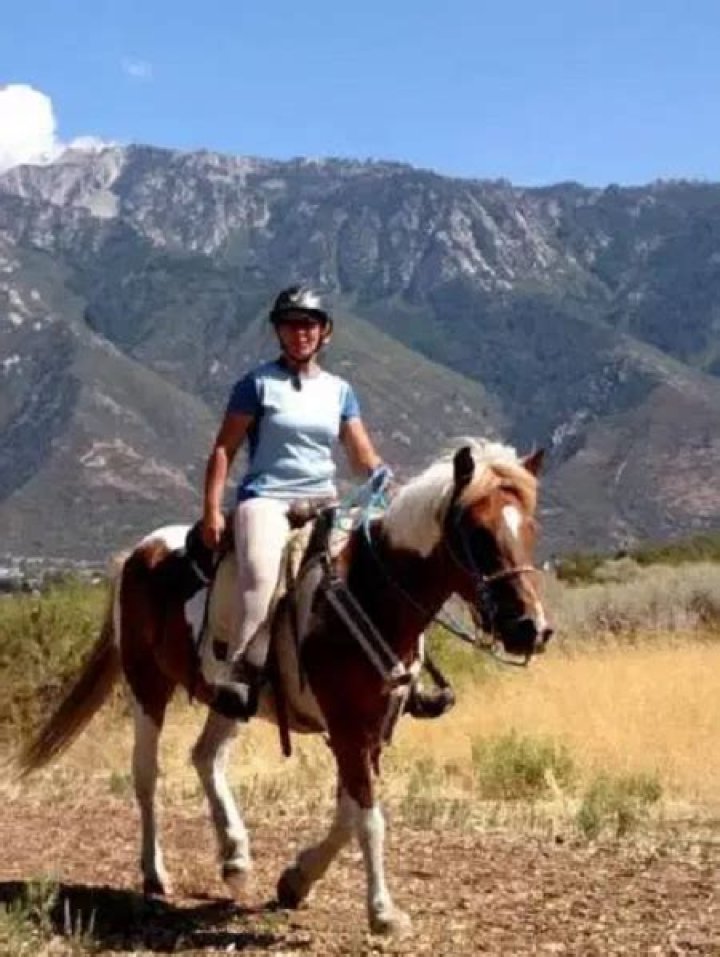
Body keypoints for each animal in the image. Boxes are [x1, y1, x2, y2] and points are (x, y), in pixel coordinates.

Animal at [17, 440, 552, 937]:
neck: (370, 595)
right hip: (147, 685)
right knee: (147, 774)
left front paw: (295, 881)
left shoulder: (371, 730)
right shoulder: (347, 726)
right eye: (478, 534)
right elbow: (368, 818)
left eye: (530, 529)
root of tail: (136, 553)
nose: (531, 629)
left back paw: (235, 857)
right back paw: (155, 874)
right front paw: (382, 912)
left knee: (206, 756)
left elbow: (348, 812)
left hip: (230, 699)